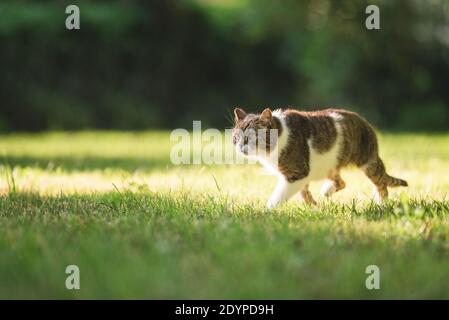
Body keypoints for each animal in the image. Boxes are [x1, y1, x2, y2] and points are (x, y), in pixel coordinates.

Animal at [231, 107, 406, 208]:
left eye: (251, 138)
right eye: (236, 137)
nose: (240, 146)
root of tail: (366, 122)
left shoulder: (297, 172)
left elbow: (279, 195)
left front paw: (267, 211)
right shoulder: (300, 175)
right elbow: (304, 192)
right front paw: (313, 207)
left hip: (368, 162)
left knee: (381, 184)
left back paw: (381, 204)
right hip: (329, 166)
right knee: (342, 182)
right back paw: (327, 191)